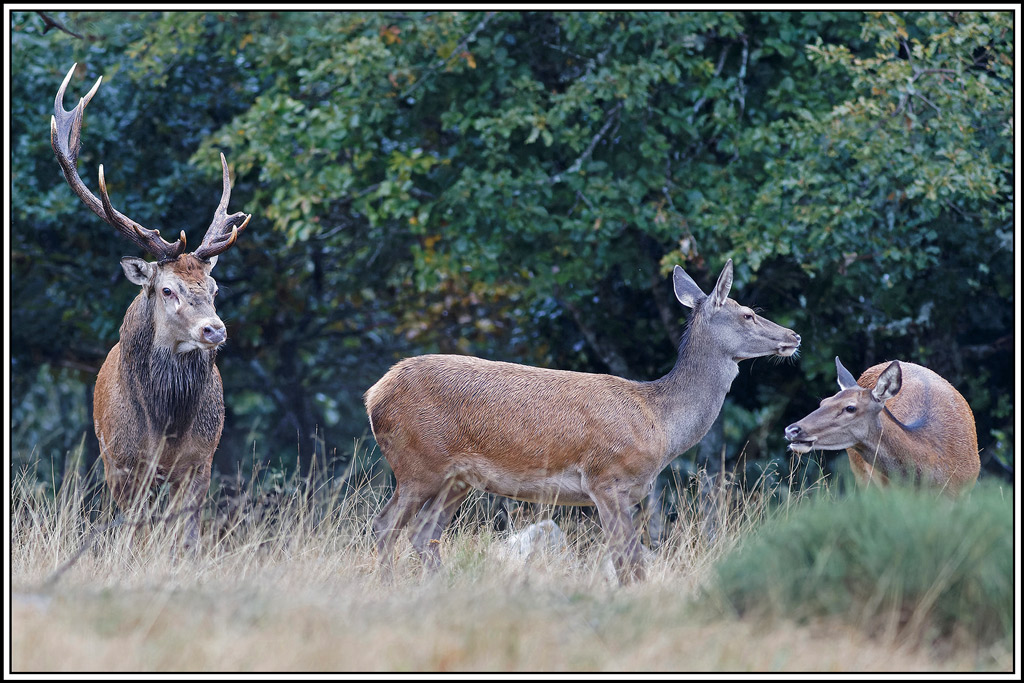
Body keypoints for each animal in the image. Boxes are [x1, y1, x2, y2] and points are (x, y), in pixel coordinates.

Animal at [51, 63, 252, 547]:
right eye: (167, 290)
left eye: (214, 286)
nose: (214, 329)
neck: (165, 428)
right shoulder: (123, 465)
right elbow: (137, 535)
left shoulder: (200, 461)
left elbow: (188, 535)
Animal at [364, 259, 801, 583]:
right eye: (748, 314)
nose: (794, 336)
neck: (661, 423)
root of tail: (374, 395)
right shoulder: (606, 478)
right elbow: (629, 562)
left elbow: (626, 560)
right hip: (418, 462)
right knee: (386, 526)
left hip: (457, 478)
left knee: (424, 534)